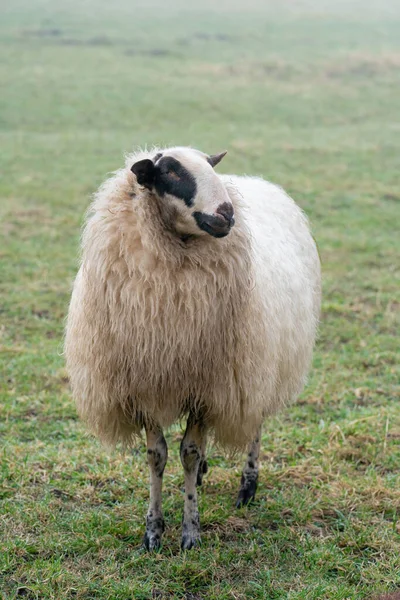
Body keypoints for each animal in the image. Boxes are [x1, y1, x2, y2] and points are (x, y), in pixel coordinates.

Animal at [65, 145, 322, 548]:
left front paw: (190, 531)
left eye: (209, 167)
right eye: (170, 172)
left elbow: (188, 451)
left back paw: (248, 485)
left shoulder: (209, 386)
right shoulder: (145, 383)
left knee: (254, 423)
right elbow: (157, 456)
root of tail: (256, 182)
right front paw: (153, 530)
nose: (227, 213)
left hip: (259, 364)